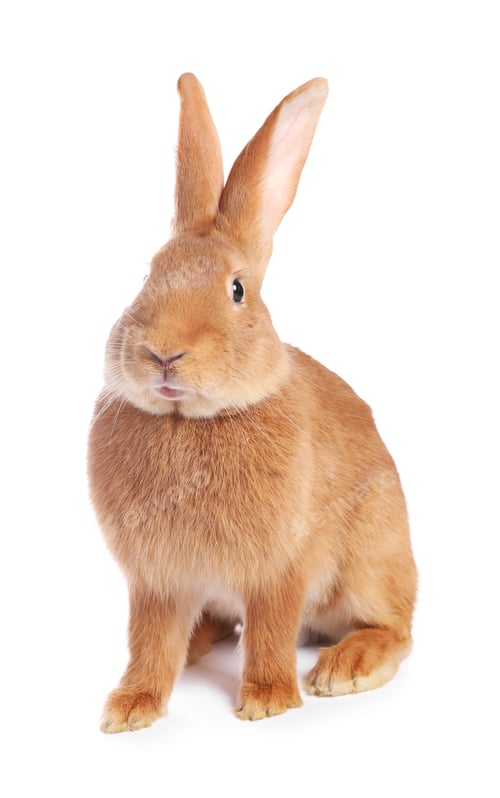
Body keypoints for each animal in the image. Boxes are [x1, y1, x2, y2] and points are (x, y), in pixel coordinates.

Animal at [88, 73, 417, 732]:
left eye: (237, 289)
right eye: (148, 276)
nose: (165, 353)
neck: (188, 421)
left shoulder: (279, 569)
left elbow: (269, 628)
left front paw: (266, 701)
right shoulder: (156, 581)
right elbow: (148, 642)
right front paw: (131, 709)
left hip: (371, 560)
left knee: (395, 627)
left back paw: (346, 667)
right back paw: (197, 644)